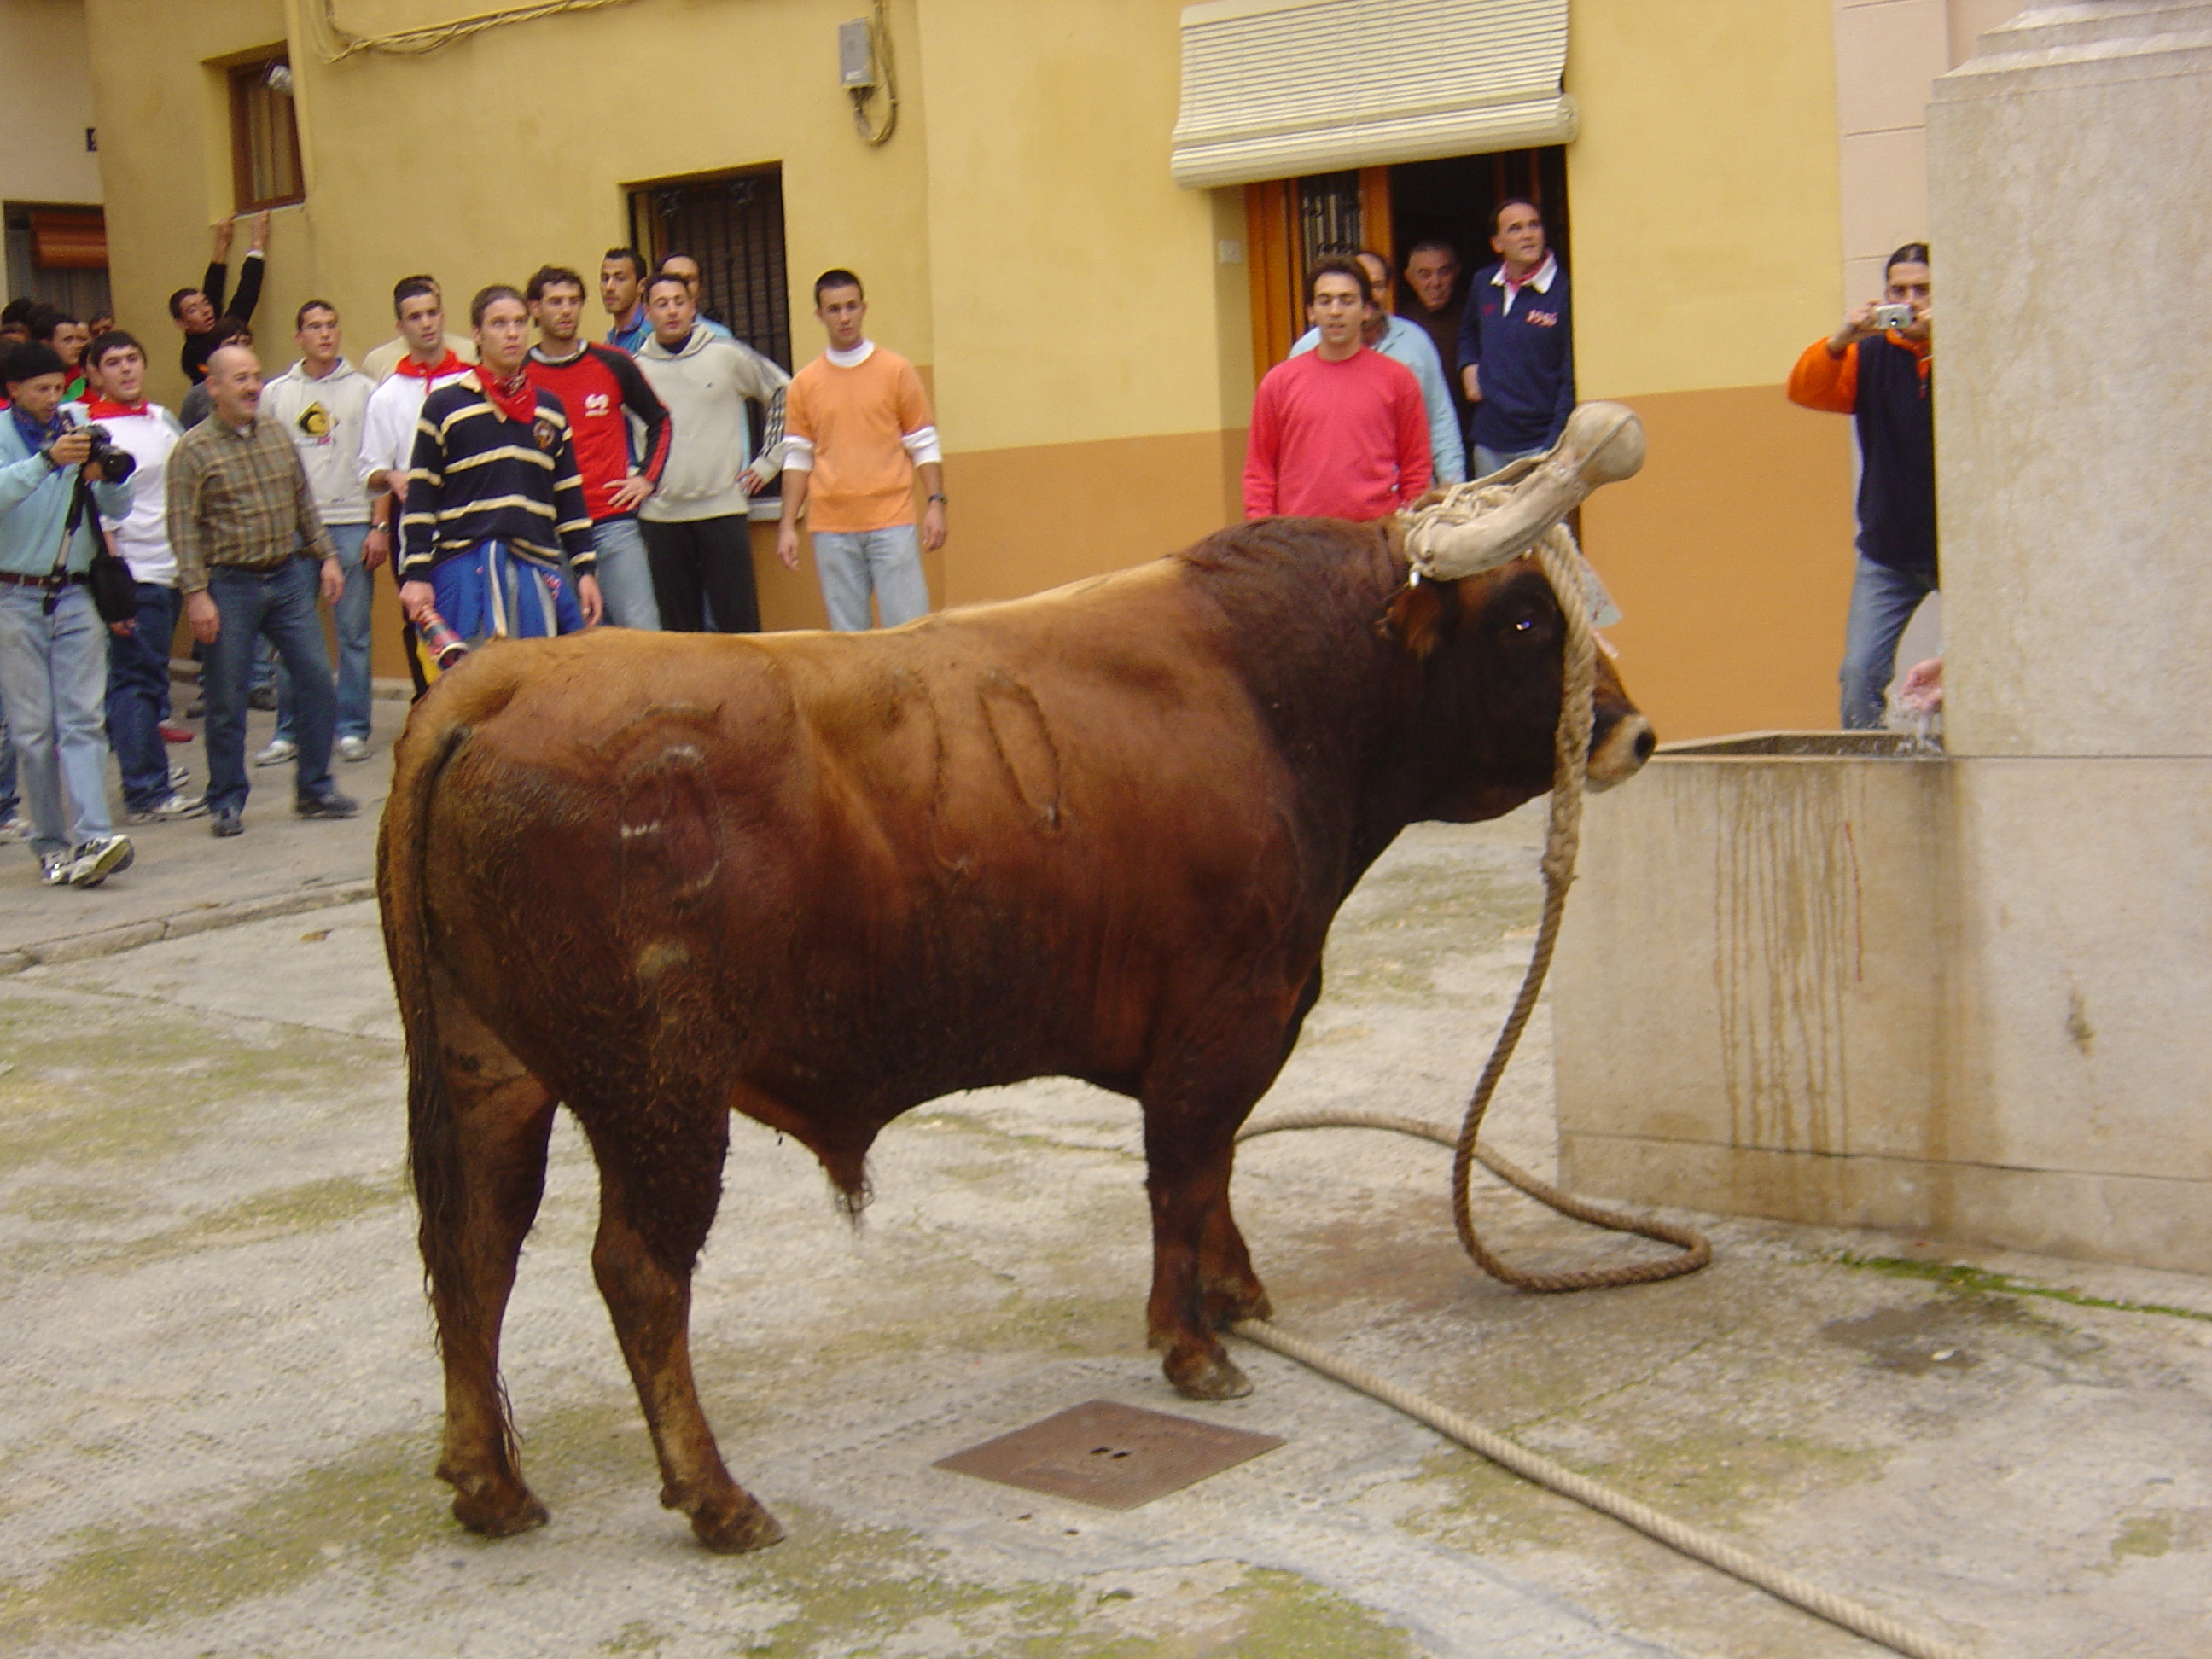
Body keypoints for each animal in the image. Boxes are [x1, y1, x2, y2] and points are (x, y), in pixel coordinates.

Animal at [375, 513, 1645, 1557]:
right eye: (1525, 618)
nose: (1633, 733)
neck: (1275, 690)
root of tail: (494, 683)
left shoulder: (1236, 1025)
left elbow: (1217, 1171)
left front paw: (1234, 1293)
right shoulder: (1224, 1017)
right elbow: (1186, 1174)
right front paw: (1194, 1346)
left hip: (492, 1073)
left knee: (473, 1246)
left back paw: (489, 1485)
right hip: (661, 1097)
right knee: (637, 1273)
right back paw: (716, 1499)